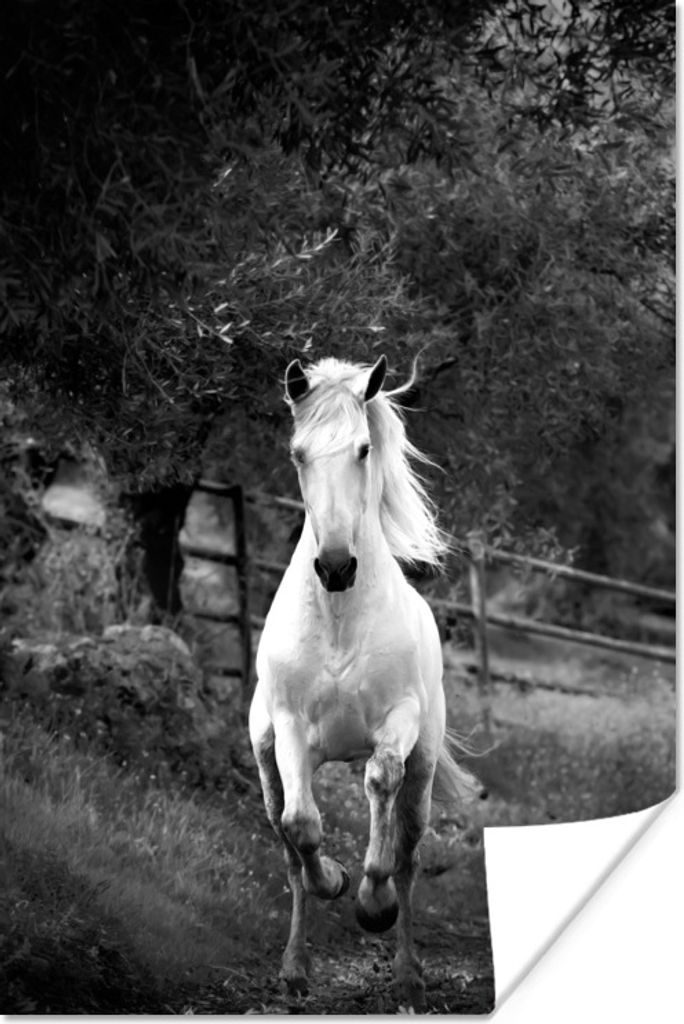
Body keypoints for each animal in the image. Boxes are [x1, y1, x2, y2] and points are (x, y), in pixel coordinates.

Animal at [249, 354, 478, 1010]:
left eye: (363, 448)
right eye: (298, 453)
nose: (334, 566)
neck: (339, 618)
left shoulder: (397, 723)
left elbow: (380, 785)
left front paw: (373, 902)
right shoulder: (291, 729)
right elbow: (302, 826)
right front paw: (337, 880)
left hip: (423, 766)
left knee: (408, 846)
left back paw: (408, 972)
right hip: (267, 760)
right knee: (288, 848)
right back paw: (295, 969)